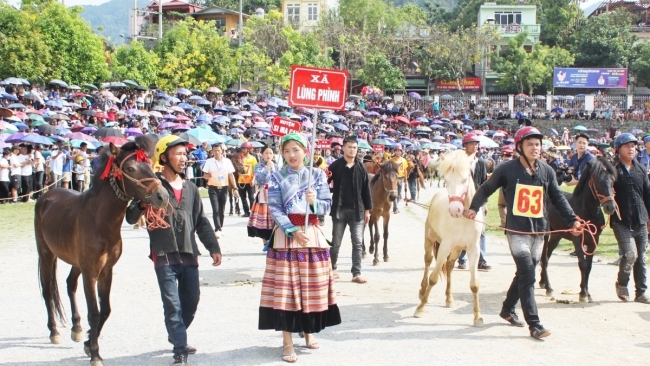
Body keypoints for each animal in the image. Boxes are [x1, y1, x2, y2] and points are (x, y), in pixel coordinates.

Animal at [34, 137, 168, 366]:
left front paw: (88, 343)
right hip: (46, 254)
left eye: (150, 164)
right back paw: (54, 332)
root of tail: (46, 195)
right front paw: (95, 354)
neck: (99, 219)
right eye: (130, 168)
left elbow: (105, 311)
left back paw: (76, 328)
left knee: (70, 285)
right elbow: (95, 313)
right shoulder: (90, 272)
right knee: (47, 291)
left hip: (75, 262)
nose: (162, 195)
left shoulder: (106, 271)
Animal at [416, 149, 480, 326]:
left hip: (457, 250)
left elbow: (474, 285)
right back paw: (422, 291)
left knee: (450, 266)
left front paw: (477, 317)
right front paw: (421, 308)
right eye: (446, 180)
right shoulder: (444, 247)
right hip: (429, 240)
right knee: (428, 261)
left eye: (464, 179)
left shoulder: (473, 250)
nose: (455, 210)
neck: (464, 220)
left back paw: (449, 298)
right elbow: (433, 278)